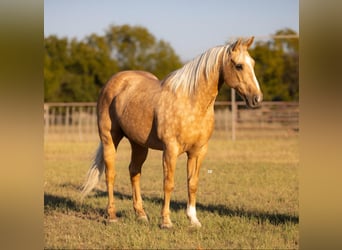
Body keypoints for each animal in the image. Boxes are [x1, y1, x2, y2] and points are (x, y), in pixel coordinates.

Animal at [81, 36, 264, 229]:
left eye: (252, 63)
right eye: (239, 66)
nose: (257, 98)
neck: (191, 102)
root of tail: (113, 82)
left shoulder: (198, 151)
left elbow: (192, 183)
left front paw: (193, 220)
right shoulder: (171, 150)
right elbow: (168, 184)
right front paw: (166, 221)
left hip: (139, 144)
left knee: (134, 171)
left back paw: (141, 214)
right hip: (110, 138)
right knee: (110, 174)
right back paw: (112, 215)